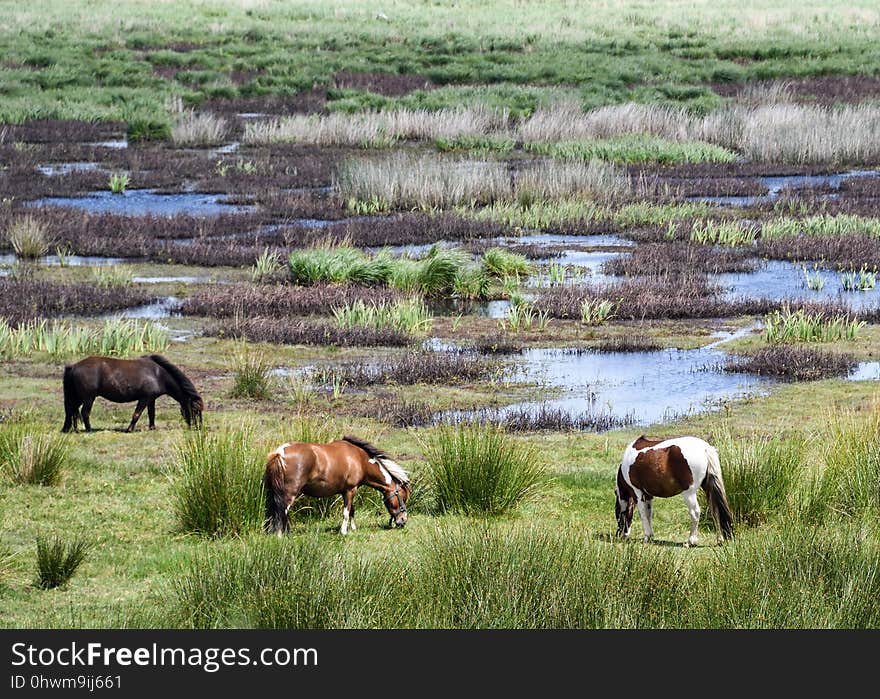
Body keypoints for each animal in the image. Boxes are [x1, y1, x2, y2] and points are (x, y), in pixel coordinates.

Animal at [61, 356, 204, 432]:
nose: (199, 427)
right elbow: (136, 414)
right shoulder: (144, 398)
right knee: (84, 413)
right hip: (88, 398)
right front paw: (129, 429)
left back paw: (72, 429)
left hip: (78, 397)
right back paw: (89, 430)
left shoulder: (151, 399)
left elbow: (151, 414)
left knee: (71, 411)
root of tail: (74, 366)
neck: (157, 374)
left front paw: (152, 427)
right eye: (195, 410)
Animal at [262, 434, 410, 540]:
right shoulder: (350, 490)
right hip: (289, 494)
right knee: (281, 512)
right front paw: (343, 531)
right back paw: (281, 535)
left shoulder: (348, 491)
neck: (360, 459)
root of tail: (279, 453)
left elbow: (351, 511)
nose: (403, 520)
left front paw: (353, 528)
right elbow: (346, 512)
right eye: (403, 498)